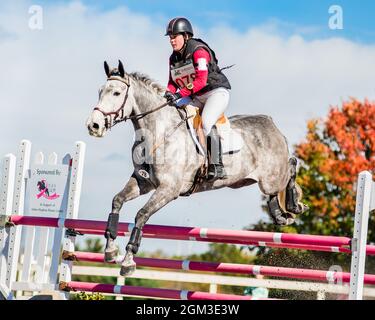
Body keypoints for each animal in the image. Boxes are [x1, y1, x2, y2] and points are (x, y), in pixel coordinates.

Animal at [86, 61, 308, 276]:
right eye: (100, 91)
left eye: (116, 93)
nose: (93, 126)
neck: (159, 131)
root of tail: (270, 123)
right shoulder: (143, 182)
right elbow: (117, 201)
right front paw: (110, 250)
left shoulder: (169, 189)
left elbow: (141, 215)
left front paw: (128, 261)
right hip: (251, 181)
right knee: (276, 188)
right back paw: (280, 214)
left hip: (271, 178)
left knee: (291, 165)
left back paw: (295, 205)